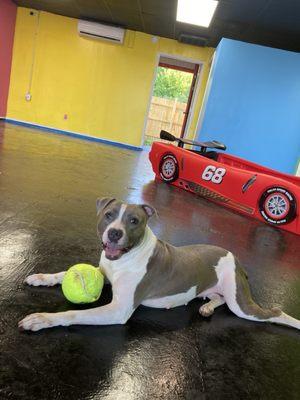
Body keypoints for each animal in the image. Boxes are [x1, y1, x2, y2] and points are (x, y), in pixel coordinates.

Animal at [18, 197, 300, 332]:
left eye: (134, 221)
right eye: (108, 215)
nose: (114, 233)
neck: (126, 258)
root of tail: (235, 256)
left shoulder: (118, 310)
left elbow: (75, 313)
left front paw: (42, 319)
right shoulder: (104, 273)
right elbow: (64, 272)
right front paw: (42, 277)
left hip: (242, 304)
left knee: (274, 313)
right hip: (223, 293)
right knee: (217, 298)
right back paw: (208, 307)